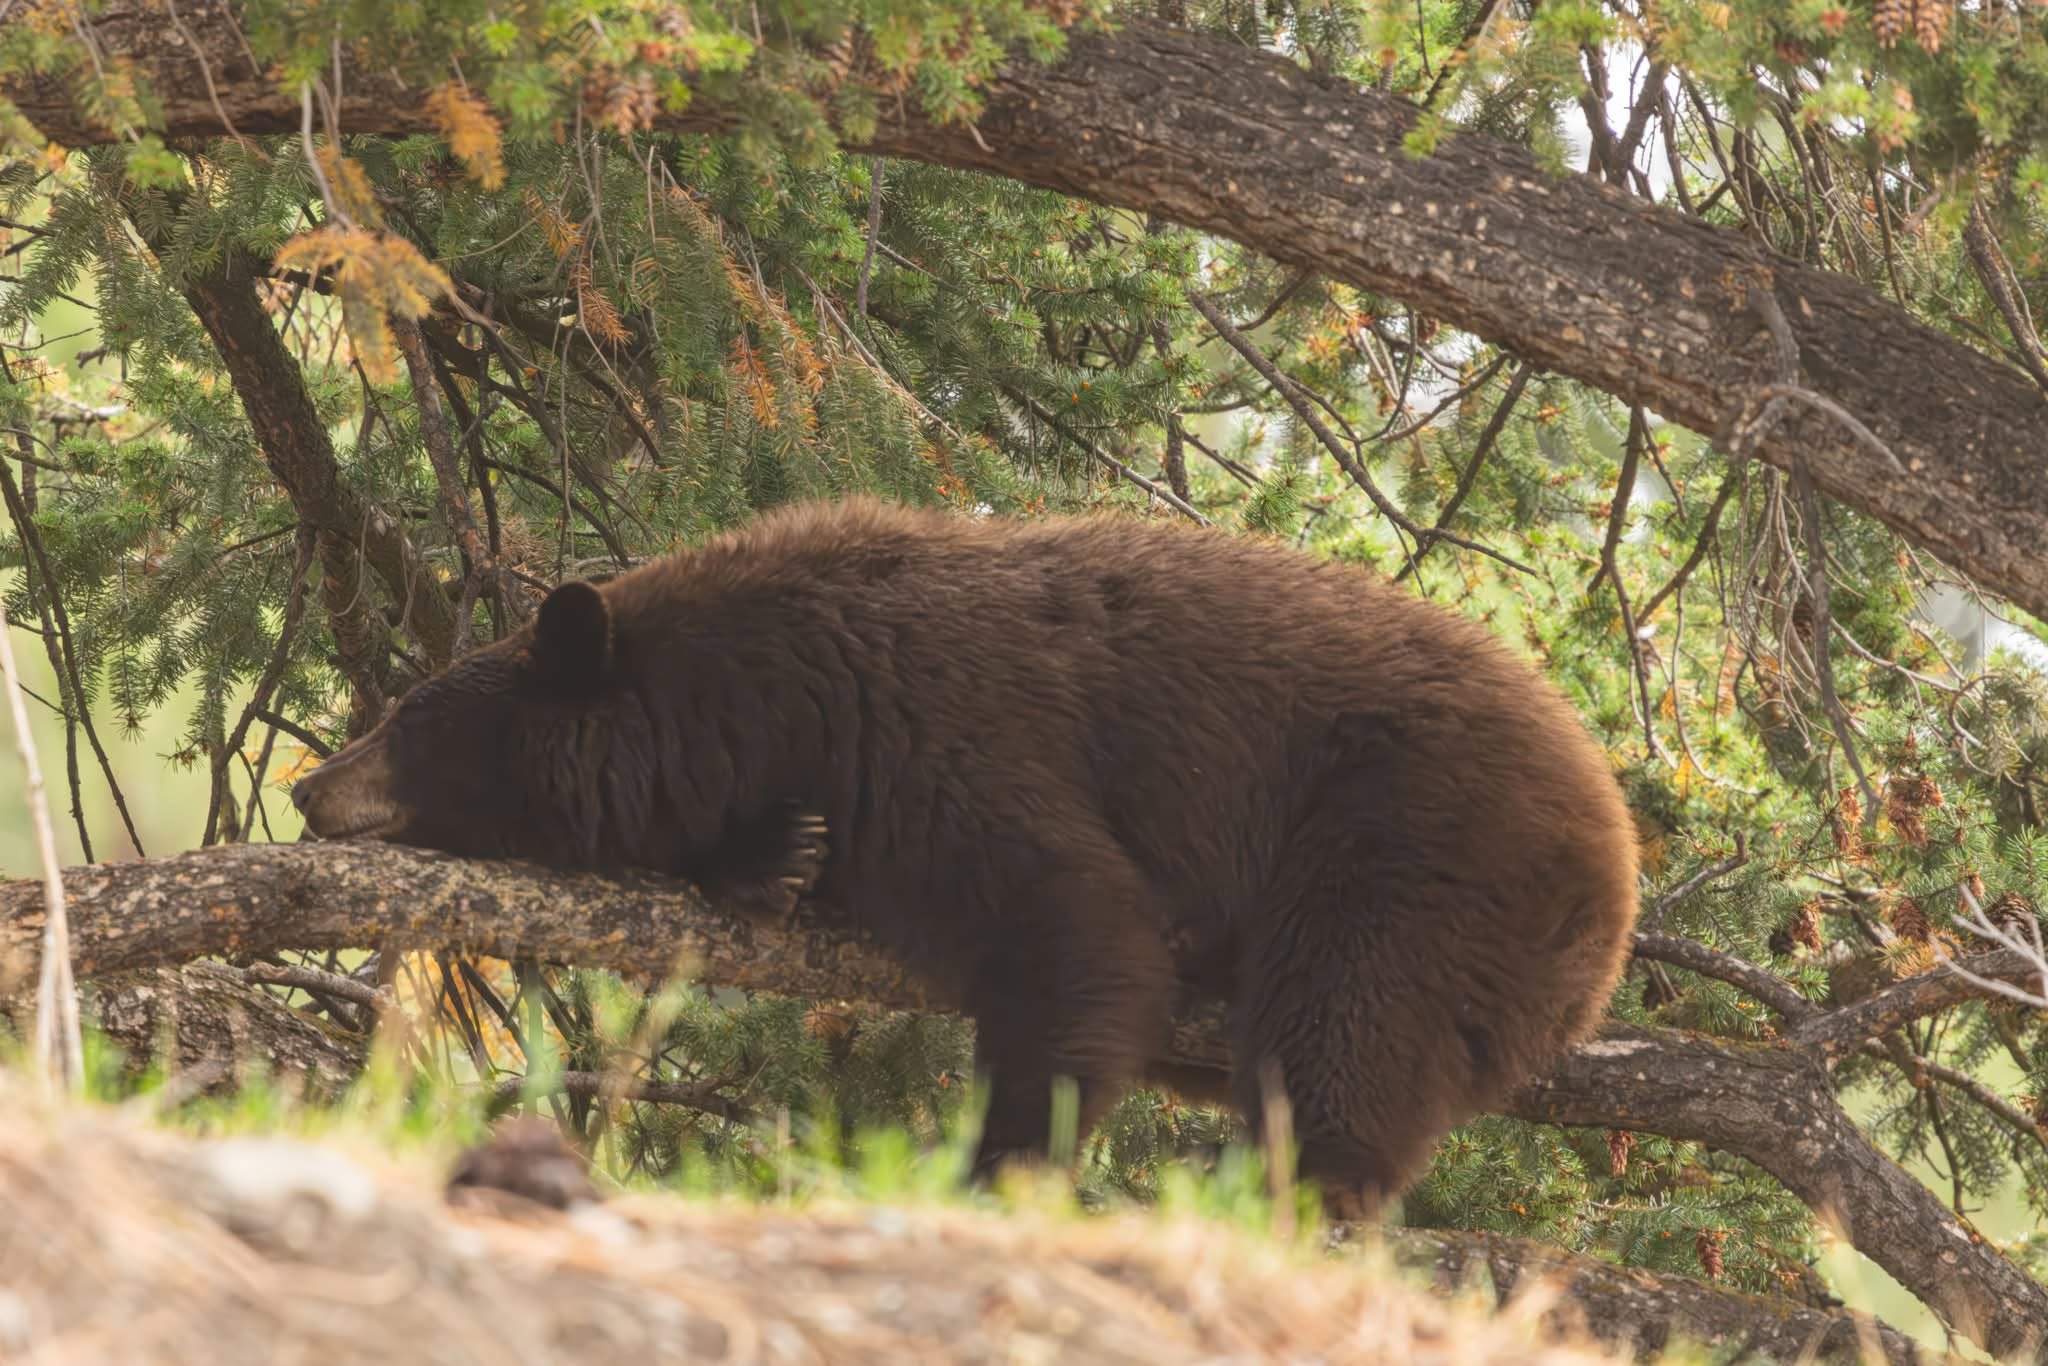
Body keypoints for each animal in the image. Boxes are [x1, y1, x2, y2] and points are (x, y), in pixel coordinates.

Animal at [291, 495, 1641, 1218]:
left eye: (405, 718)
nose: (309, 785)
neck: (774, 693)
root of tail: (1615, 863)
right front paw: (770, 854)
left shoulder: (941, 723)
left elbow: (1072, 924)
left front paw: (999, 1154)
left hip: (1417, 838)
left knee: (1339, 1033)